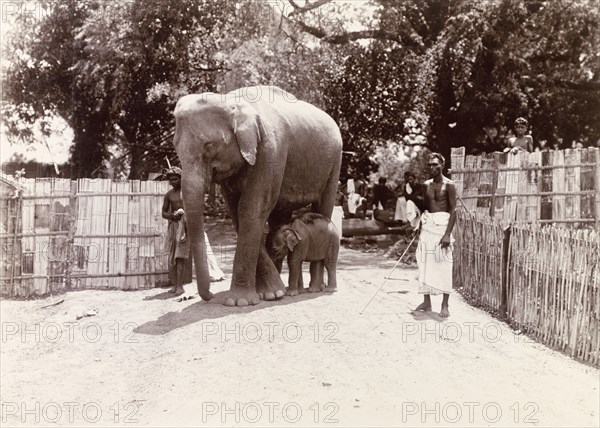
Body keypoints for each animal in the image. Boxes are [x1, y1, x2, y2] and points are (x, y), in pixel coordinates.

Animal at [173, 86, 342, 308]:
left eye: (208, 146)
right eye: (175, 147)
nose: (208, 296)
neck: (231, 100)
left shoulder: (270, 150)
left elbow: (252, 208)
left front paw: (239, 301)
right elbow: (237, 212)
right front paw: (271, 293)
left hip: (334, 161)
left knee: (323, 206)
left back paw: (317, 288)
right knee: (280, 216)